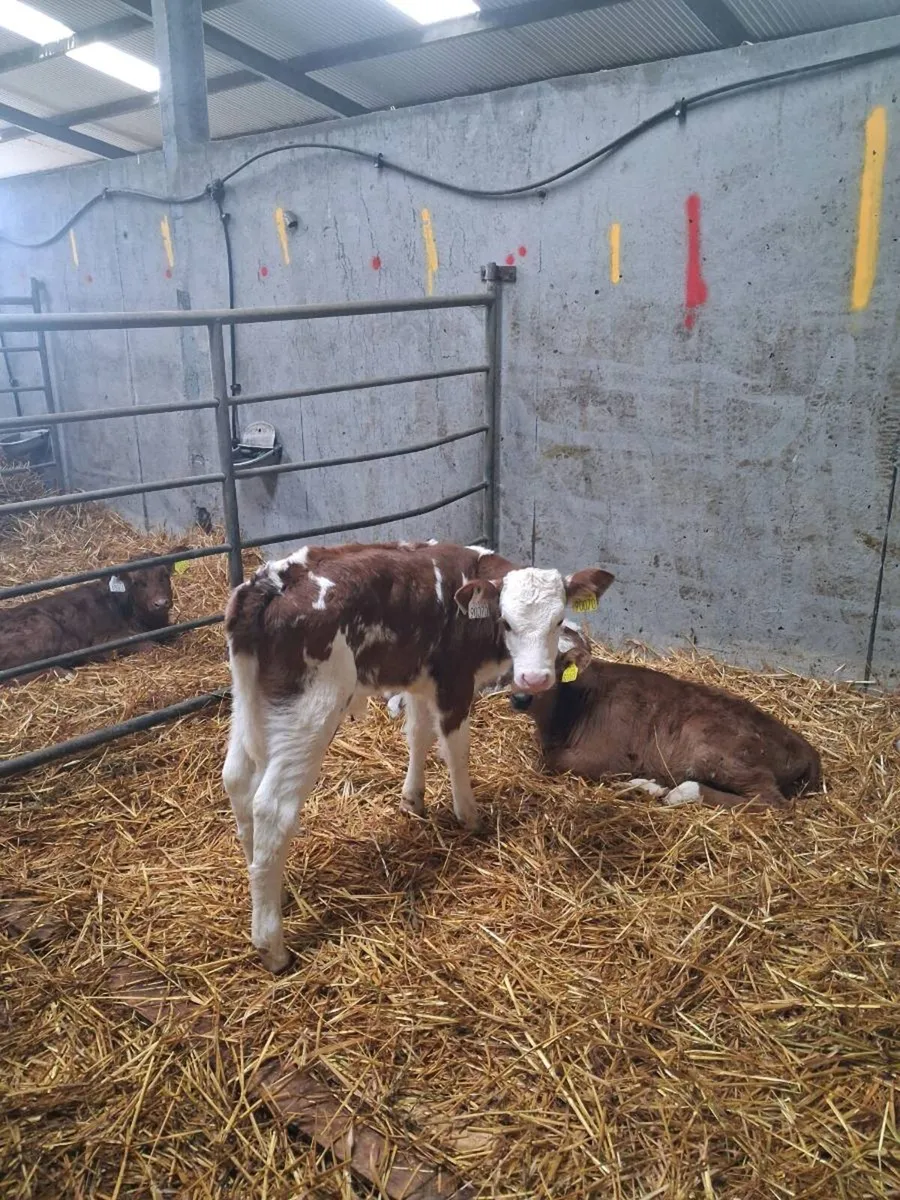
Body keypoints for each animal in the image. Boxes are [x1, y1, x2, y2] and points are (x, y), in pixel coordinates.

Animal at [0, 548, 188, 681]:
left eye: (165, 575)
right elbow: (150, 645)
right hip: (44, 628)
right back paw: (63, 674)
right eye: (137, 582)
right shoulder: (104, 640)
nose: (161, 603)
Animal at [223, 540, 612, 971]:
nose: (535, 679)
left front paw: (413, 799)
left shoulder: (421, 678)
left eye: (558, 620)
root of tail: (270, 582)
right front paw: (469, 816)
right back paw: (271, 945)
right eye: (507, 622)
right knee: (272, 808)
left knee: (237, 781)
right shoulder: (455, 681)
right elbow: (456, 750)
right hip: (309, 709)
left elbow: (418, 734)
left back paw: (272, 887)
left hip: (249, 701)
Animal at [510, 620, 821, 811]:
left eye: (554, 664)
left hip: (718, 753)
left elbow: (552, 762)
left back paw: (680, 792)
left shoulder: (608, 757)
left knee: (770, 800)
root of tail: (805, 747)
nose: (520, 698)